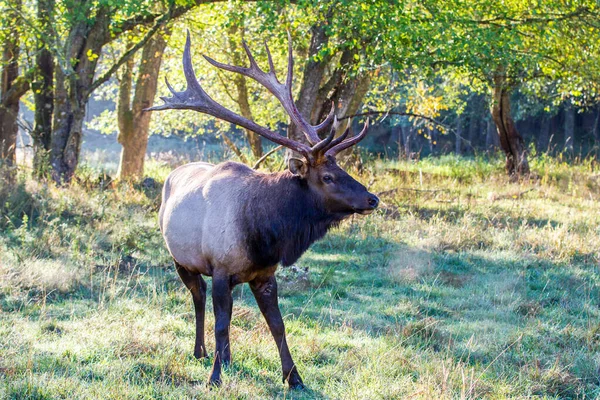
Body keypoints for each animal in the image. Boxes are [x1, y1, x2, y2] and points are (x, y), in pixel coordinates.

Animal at [147, 32, 378, 390]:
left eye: (342, 169)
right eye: (327, 177)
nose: (372, 199)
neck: (264, 236)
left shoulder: (265, 275)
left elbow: (278, 325)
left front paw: (294, 378)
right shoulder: (221, 269)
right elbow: (222, 324)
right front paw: (214, 378)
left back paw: (225, 358)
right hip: (180, 258)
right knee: (198, 297)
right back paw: (202, 352)